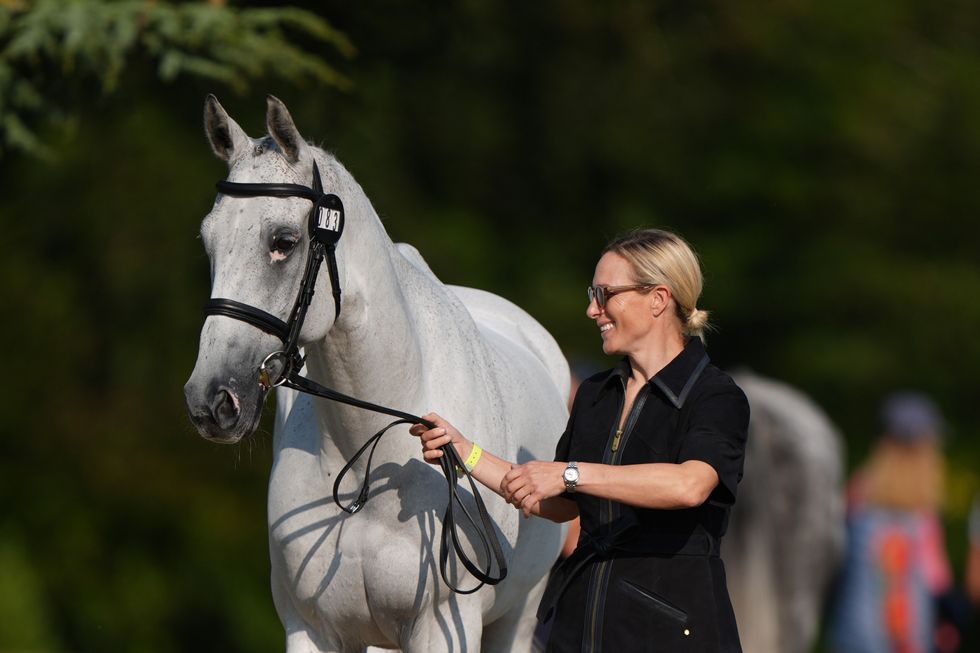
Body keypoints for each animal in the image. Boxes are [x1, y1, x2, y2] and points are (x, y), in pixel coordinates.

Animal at [184, 95, 568, 652]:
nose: (212, 400)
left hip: (516, 621)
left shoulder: (441, 627)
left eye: (284, 241)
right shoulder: (311, 629)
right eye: (208, 241)